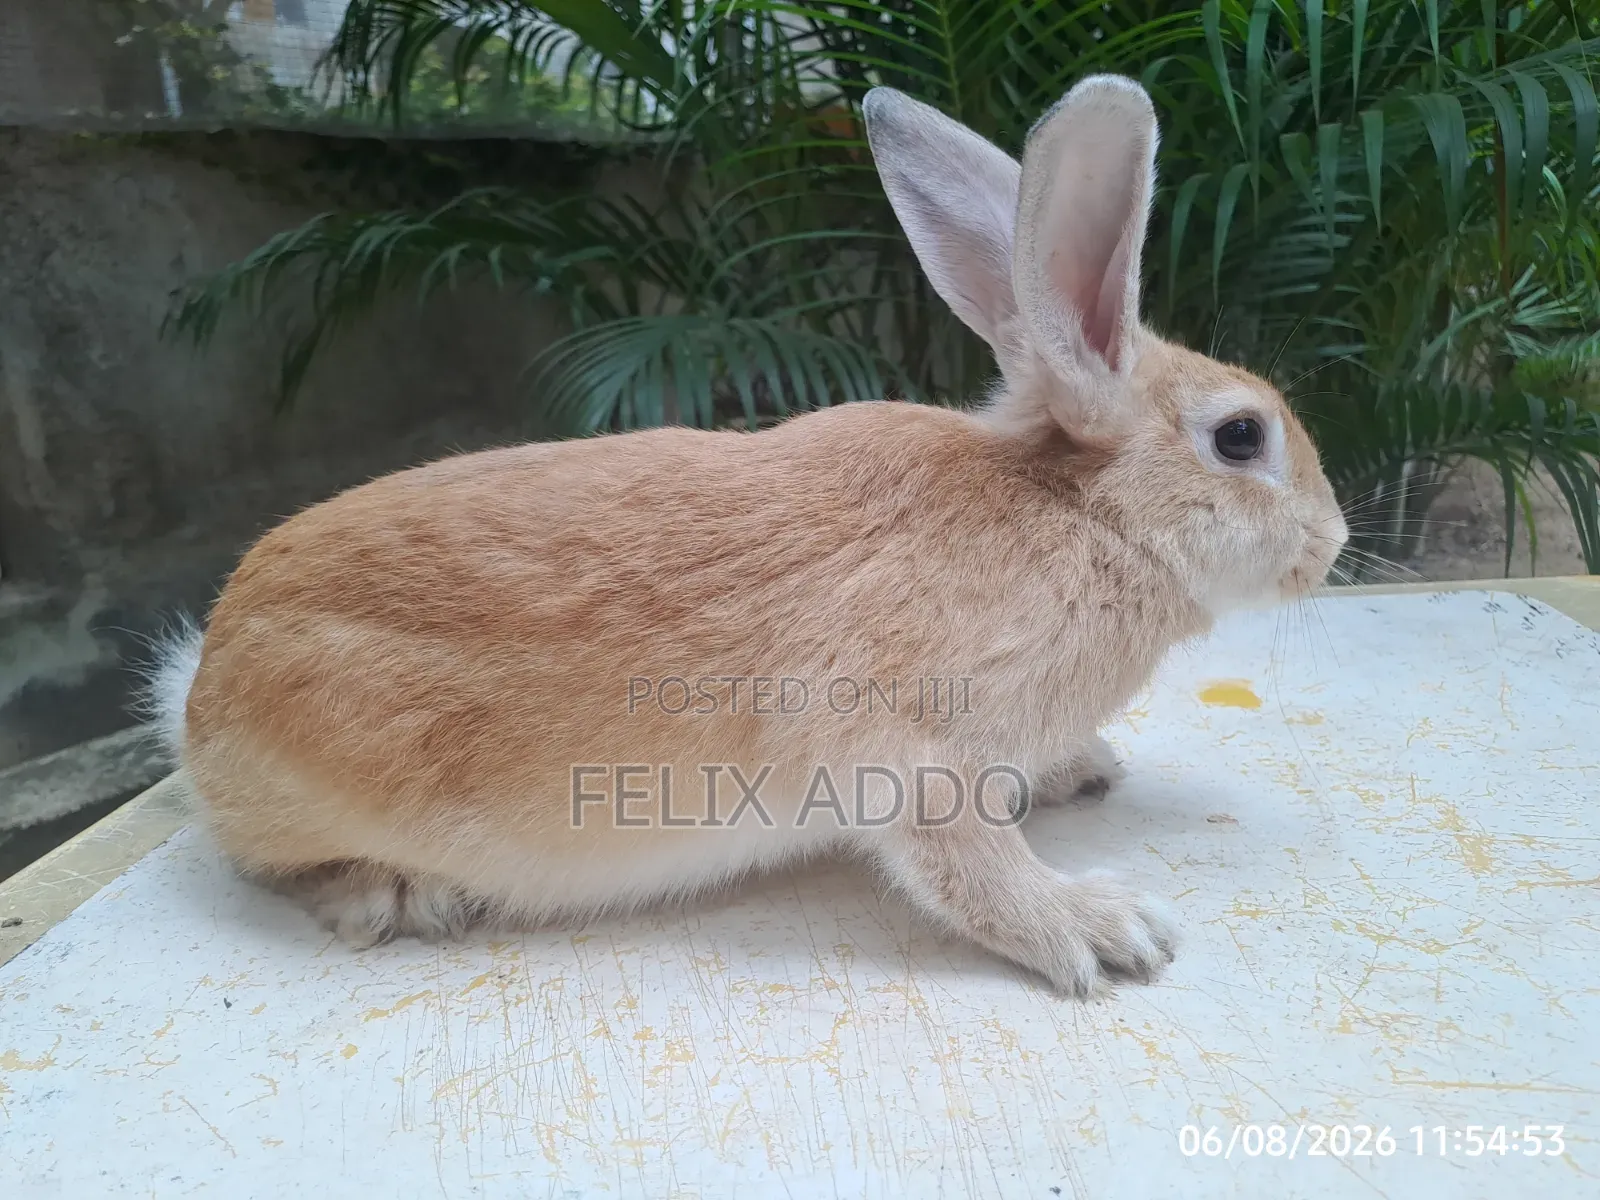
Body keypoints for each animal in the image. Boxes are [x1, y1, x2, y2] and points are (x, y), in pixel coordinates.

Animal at [150, 75, 1348, 998]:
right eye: (1241, 437)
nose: (1332, 542)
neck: (1082, 516)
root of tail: (201, 693)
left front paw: (1079, 774)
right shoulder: (905, 749)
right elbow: (970, 865)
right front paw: (1106, 931)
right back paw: (395, 894)